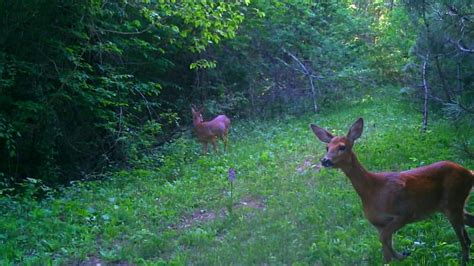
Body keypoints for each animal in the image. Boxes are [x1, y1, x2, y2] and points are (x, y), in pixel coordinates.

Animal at [312, 118, 474, 264]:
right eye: (327, 148)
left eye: (342, 147)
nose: (325, 160)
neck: (372, 191)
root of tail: (469, 172)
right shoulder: (378, 224)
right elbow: (385, 251)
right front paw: (399, 256)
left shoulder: (404, 213)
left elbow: (384, 240)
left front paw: (402, 255)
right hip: (452, 205)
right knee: (469, 229)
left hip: (453, 202)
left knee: (465, 241)